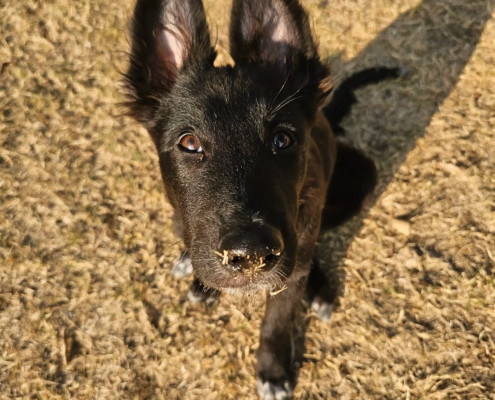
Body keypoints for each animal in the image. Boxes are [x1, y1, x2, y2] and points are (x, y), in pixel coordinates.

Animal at [124, 1, 404, 398]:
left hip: (361, 179)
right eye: (189, 143)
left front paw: (273, 371)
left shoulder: (290, 267)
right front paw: (200, 282)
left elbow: (276, 322)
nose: (251, 254)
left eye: (282, 140)